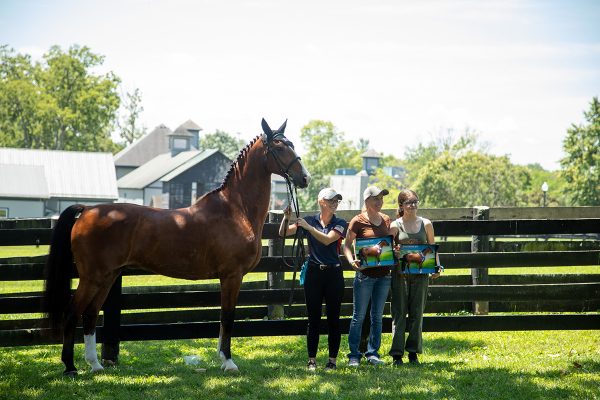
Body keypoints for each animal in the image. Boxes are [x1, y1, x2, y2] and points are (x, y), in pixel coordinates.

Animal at [42, 119, 310, 376]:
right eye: (279, 147)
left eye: (292, 144)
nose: (305, 178)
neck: (236, 209)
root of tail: (88, 210)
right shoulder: (232, 276)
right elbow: (228, 317)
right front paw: (228, 362)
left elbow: (223, 319)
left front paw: (221, 358)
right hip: (92, 277)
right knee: (72, 314)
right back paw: (70, 367)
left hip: (108, 276)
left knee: (90, 314)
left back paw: (95, 365)